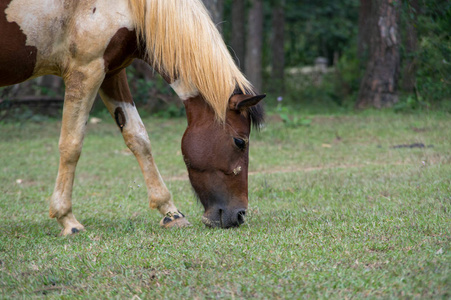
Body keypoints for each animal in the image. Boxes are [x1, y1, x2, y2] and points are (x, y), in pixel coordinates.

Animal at [0, 0, 264, 234]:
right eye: (239, 142)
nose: (240, 215)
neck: (131, 6)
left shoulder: (111, 73)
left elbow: (138, 138)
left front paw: (171, 212)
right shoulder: (85, 71)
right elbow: (71, 144)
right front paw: (68, 220)